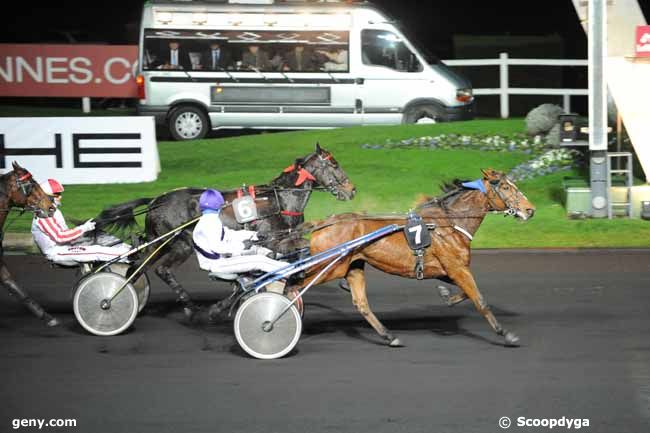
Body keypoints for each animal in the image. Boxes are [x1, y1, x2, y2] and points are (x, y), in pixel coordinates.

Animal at [296, 169, 536, 348]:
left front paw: (446, 296)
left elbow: (465, 294)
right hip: (329, 267)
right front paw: (506, 334)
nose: (530, 210)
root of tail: (323, 223)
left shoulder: (448, 270)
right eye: (505, 187)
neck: (450, 223)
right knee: (295, 286)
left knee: (361, 303)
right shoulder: (457, 268)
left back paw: (390, 336)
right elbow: (480, 300)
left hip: (352, 266)